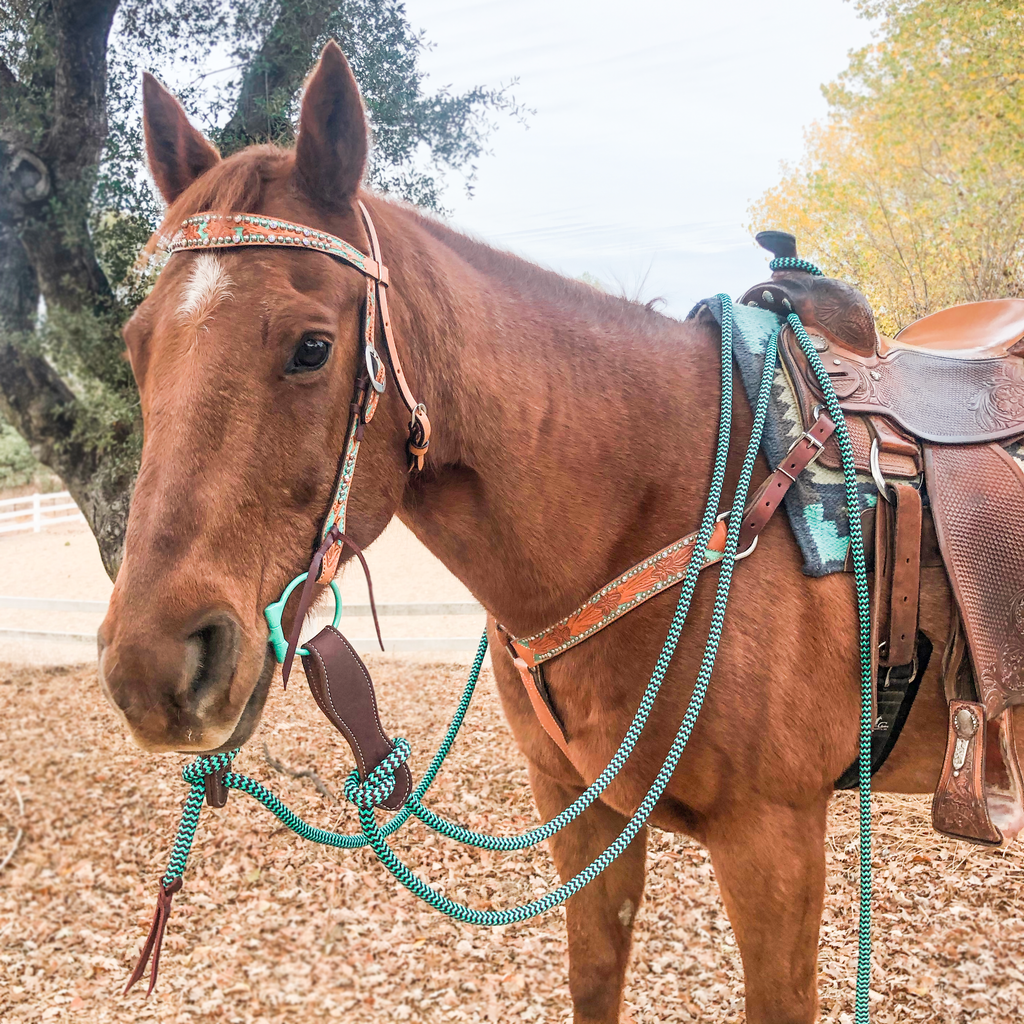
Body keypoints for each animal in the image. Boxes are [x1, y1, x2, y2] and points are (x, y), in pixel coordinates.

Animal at [97, 37, 1007, 1015]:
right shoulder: (581, 810)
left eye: (311, 347)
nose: (152, 667)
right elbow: (593, 982)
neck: (675, 492)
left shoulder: (776, 842)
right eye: (136, 346)